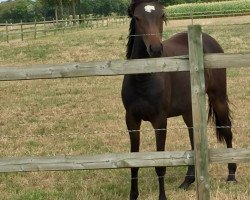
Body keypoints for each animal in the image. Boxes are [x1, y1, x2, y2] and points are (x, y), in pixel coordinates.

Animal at [121, 0, 238, 200]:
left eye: (161, 15)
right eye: (137, 17)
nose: (155, 49)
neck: (142, 77)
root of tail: (208, 40)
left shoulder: (160, 121)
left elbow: (160, 164)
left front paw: (162, 197)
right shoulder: (131, 120)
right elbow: (134, 162)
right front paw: (133, 195)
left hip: (218, 97)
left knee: (227, 129)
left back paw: (231, 175)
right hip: (188, 110)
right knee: (193, 138)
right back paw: (188, 180)